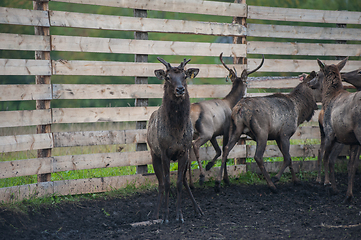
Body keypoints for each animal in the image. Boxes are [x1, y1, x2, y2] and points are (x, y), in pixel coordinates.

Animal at [146, 57, 202, 222]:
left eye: (184, 76)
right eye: (168, 77)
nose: (180, 90)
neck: (176, 130)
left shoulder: (184, 152)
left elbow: (178, 183)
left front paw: (179, 215)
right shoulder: (164, 152)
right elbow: (167, 183)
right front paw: (165, 216)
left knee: (184, 180)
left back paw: (198, 210)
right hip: (154, 154)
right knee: (160, 184)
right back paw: (156, 214)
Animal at [187, 52, 262, 188]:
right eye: (247, 84)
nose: (246, 91)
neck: (230, 103)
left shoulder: (215, 134)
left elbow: (218, 151)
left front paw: (209, 165)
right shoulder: (227, 129)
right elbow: (225, 152)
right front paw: (225, 179)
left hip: (194, 134)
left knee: (188, 153)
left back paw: (190, 184)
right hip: (206, 131)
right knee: (195, 145)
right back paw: (201, 177)